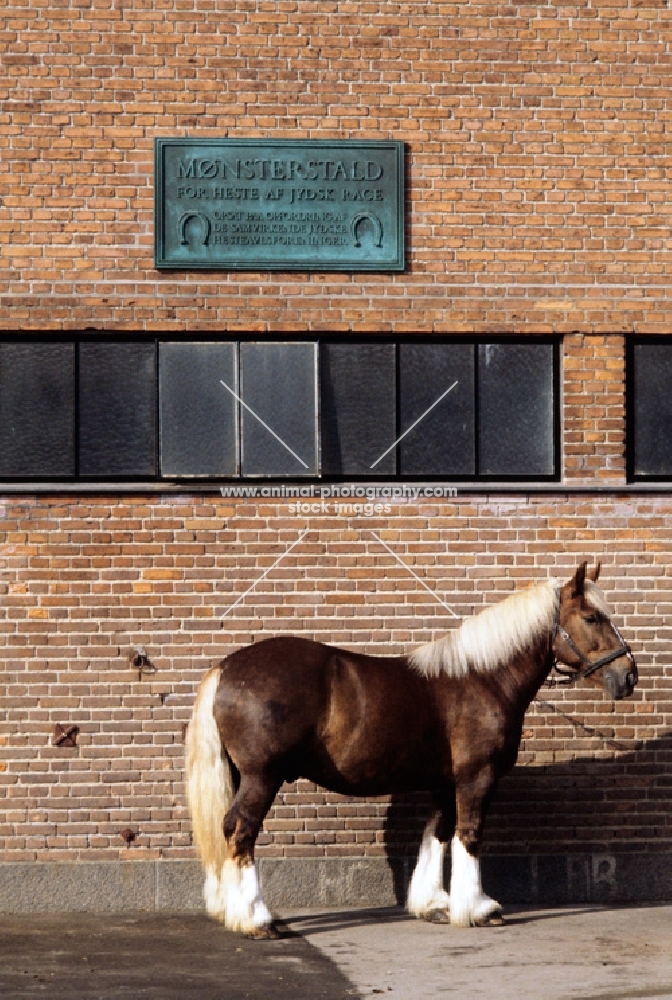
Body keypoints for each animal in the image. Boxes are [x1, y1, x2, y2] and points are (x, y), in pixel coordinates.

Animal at [185, 564, 636, 936]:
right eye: (592, 617)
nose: (628, 675)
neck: (484, 678)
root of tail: (225, 668)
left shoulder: (446, 783)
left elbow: (438, 834)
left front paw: (435, 904)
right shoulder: (476, 778)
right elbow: (469, 835)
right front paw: (478, 908)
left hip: (242, 776)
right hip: (263, 777)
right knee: (241, 831)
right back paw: (257, 919)